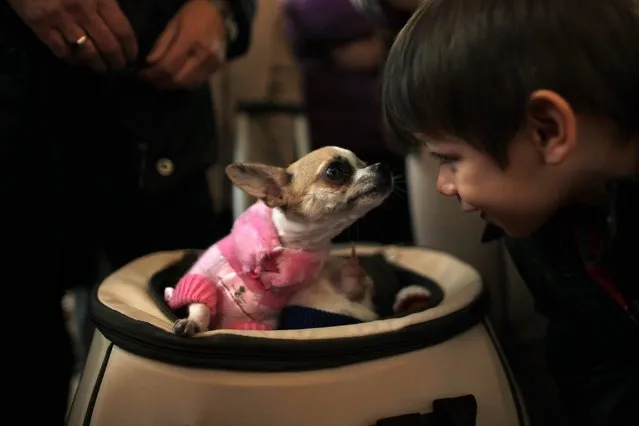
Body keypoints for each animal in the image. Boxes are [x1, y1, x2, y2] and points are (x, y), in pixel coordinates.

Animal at [164, 146, 396, 336]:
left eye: (364, 163)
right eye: (334, 171)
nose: (382, 166)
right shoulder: (204, 274)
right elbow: (200, 303)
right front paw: (193, 321)